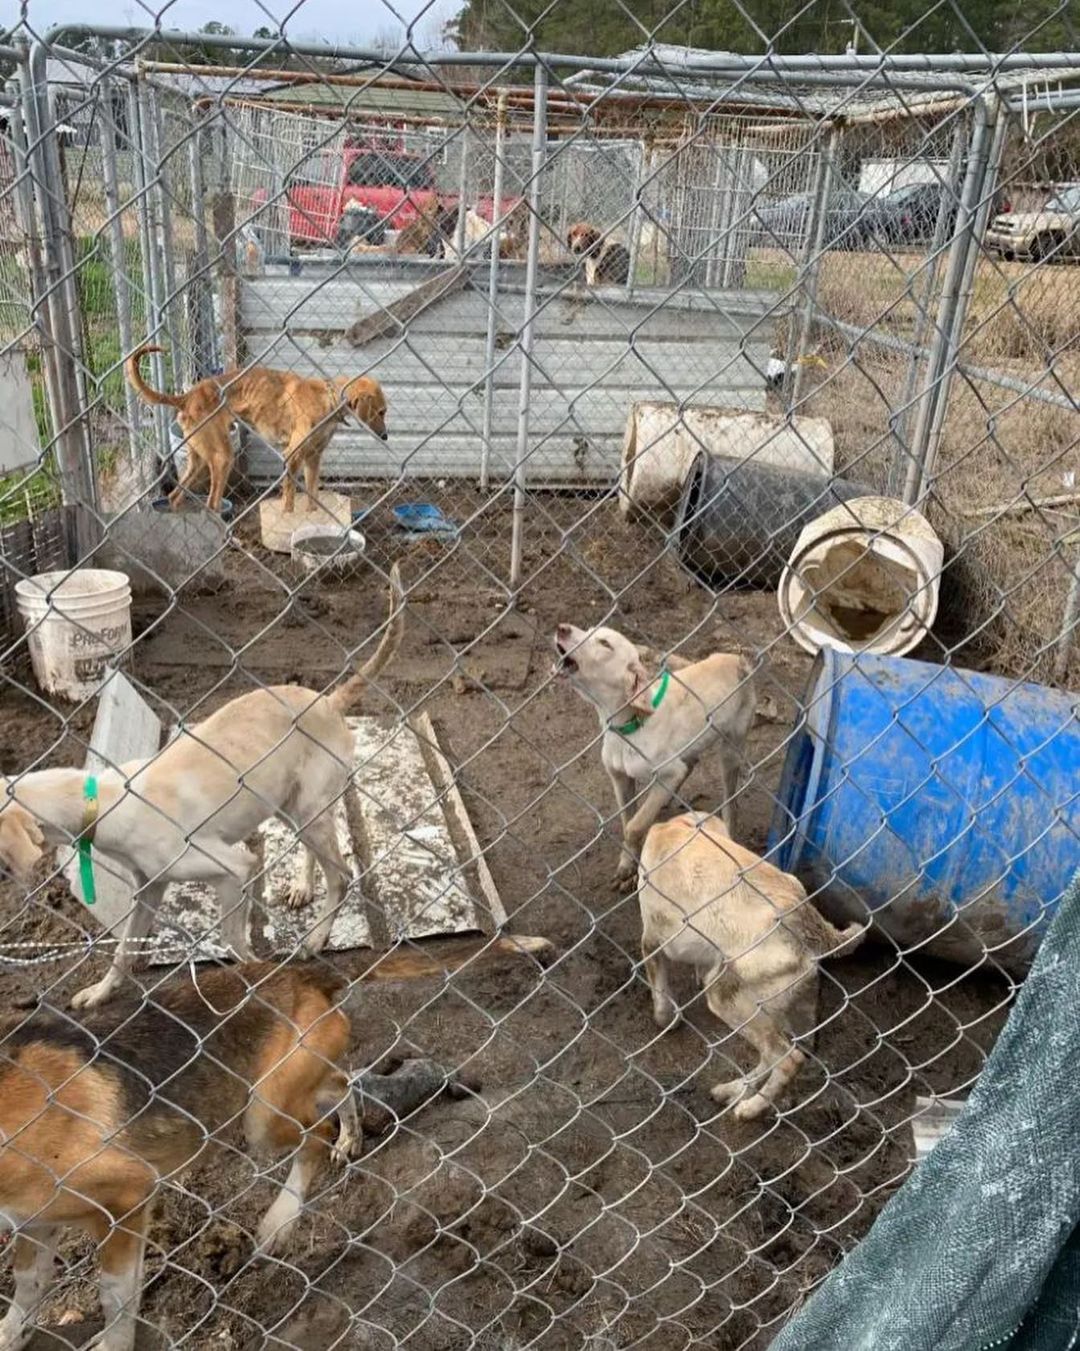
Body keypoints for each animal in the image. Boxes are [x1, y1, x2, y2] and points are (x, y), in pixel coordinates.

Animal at [0, 564, 405, 1010]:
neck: (100, 799)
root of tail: (330, 701)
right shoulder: (149, 887)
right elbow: (123, 951)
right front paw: (100, 992)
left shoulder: (234, 868)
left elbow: (232, 941)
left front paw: (261, 977)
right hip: (290, 806)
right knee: (317, 855)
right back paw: (303, 887)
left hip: (308, 810)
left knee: (342, 875)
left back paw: (316, 937)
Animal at [0, 961, 359, 1351]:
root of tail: (301, 974)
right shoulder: (33, 1220)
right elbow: (28, 1280)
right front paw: (13, 1331)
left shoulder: (125, 1199)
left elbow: (114, 1296)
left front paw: (113, 1343)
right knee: (343, 1082)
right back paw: (350, 1136)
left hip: (262, 1114)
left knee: (318, 1135)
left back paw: (279, 1222)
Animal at [127, 345, 389, 513]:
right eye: (381, 412)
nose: (386, 436)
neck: (328, 398)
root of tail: (187, 396)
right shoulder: (292, 456)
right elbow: (289, 499)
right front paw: (288, 518)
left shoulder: (313, 458)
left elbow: (313, 498)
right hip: (222, 458)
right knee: (211, 505)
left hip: (199, 459)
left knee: (174, 496)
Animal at [554, 624, 756, 897]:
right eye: (588, 630)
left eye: (605, 643)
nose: (561, 628)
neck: (629, 727)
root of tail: (736, 658)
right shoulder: (619, 778)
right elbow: (627, 820)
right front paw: (627, 864)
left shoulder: (669, 772)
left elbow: (635, 825)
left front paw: (629, 868)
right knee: (691, 764)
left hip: (730, 751)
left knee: (729, 800)